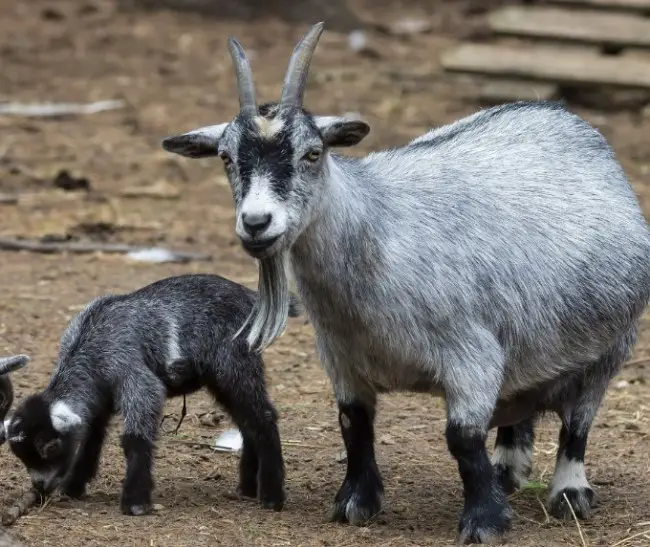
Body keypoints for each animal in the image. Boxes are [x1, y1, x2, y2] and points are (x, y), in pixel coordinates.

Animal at [1, 276, 296, 516]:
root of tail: (252, 298)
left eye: (50, 447)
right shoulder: (99, 400)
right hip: (224, 377)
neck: (91, 344)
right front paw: (73, 487)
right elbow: (90, 439)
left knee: (263, 416)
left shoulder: (133, 374)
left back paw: (271, 497)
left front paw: (135, 502)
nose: (40, 486)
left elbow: (136, 436)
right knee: (247, 421)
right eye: (21, 456)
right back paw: (247, 487)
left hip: (235, 363)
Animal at [159, 22, 648, 544]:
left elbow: (462, 438)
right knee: (521, 405)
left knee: (578, 424)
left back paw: (569, 494)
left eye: (313, 153)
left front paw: (484, 522)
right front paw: (355, 503)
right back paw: (506, 472)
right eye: (226, 157)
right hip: (530, 348)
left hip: (609, 348)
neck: (376, 231)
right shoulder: (342, 357)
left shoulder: (471, 355)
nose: (256, 223)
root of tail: (563, 118)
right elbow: (353, 423)